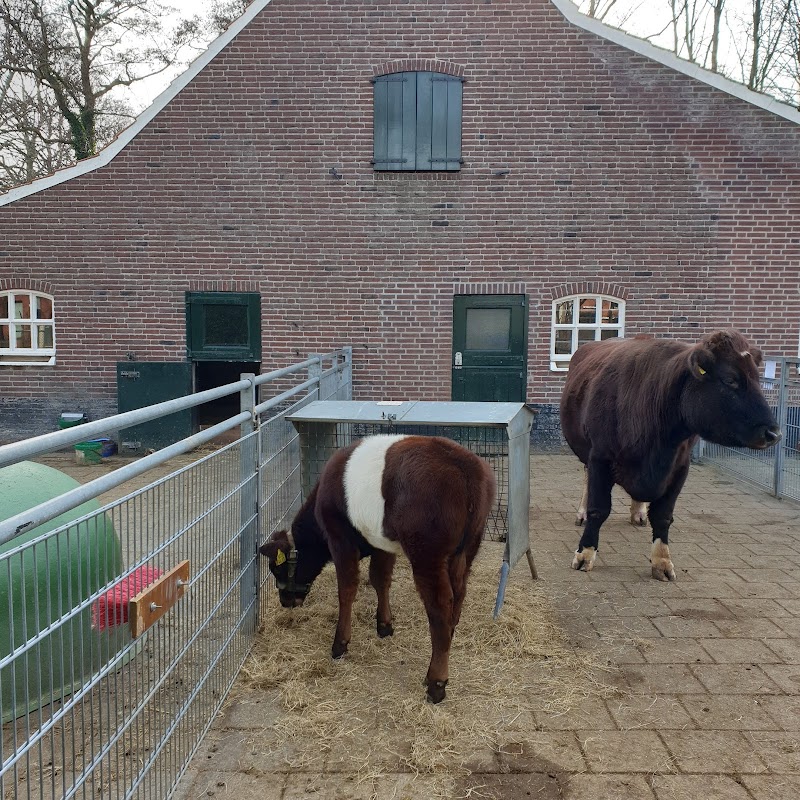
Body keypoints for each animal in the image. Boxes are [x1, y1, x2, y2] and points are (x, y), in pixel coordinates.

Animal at [560, 332, 780, 580]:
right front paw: (585, 553)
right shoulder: (600, 457)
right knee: (587, 480)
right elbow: (598, 509)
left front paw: (662, 561)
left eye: (757, 379)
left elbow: (663, 515)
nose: (774, 433)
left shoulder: (679, 467)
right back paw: (582, 514)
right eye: (730, 379)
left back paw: (638, 512)